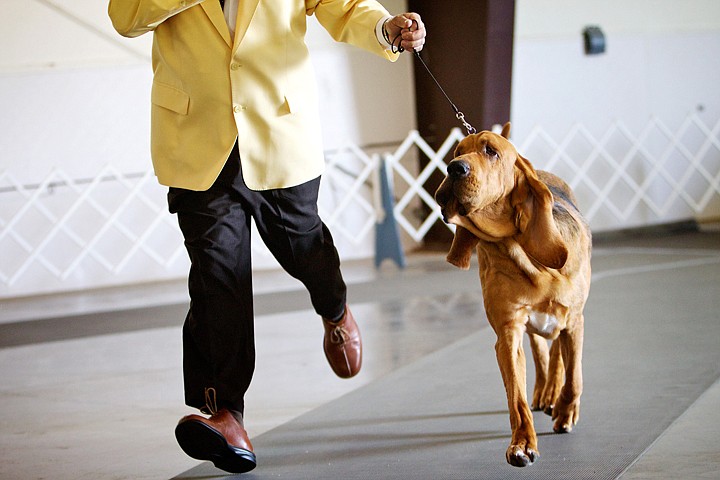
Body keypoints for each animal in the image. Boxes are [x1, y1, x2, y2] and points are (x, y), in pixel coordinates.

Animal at [434, 122, 592, 466]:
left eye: (491, 151)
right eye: (456, 152)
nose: (454, 168)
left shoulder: (574, 320)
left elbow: (574, 376)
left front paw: (566, 412)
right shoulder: (508, 333)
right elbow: (516, 397)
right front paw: (522, 444)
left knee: (558, 356)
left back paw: (554, 395)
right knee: (541, 352)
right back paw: (544, 392)